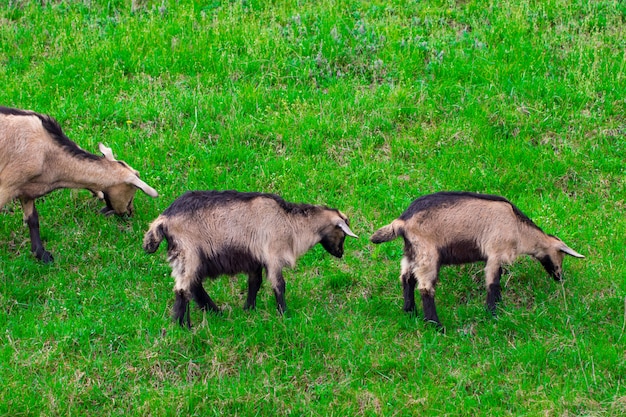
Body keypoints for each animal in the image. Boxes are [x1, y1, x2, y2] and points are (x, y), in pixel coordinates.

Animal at [0, 105, 156, 262]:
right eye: (130, 197)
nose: (129, 214)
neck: (48, 155)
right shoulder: (7, 186)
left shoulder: (26, 190)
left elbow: (33, 220)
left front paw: (42, 255)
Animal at [143, 189, 356, 328]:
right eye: (343, 234)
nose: (340, 253)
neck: (290, 222)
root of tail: (163, 220)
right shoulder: (273, 254)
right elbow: (279, 285)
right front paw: (284, 314)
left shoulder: (255, 259)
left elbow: (255, 282)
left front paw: (249, 309)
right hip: (188, 253)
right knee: (183, 289)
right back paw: (184, 326)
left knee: (194, 286)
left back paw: (214, 312)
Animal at [368, 192, 584, 328]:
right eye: (561, 257)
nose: (559, 277)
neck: (518, 228)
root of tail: (402, 221)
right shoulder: (495, 252)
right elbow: (493, 281)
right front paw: (492, 313)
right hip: (427, 253)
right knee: (425, 287)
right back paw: (436, 325)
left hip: (411, 252)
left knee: (407, 278)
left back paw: (409, 311)